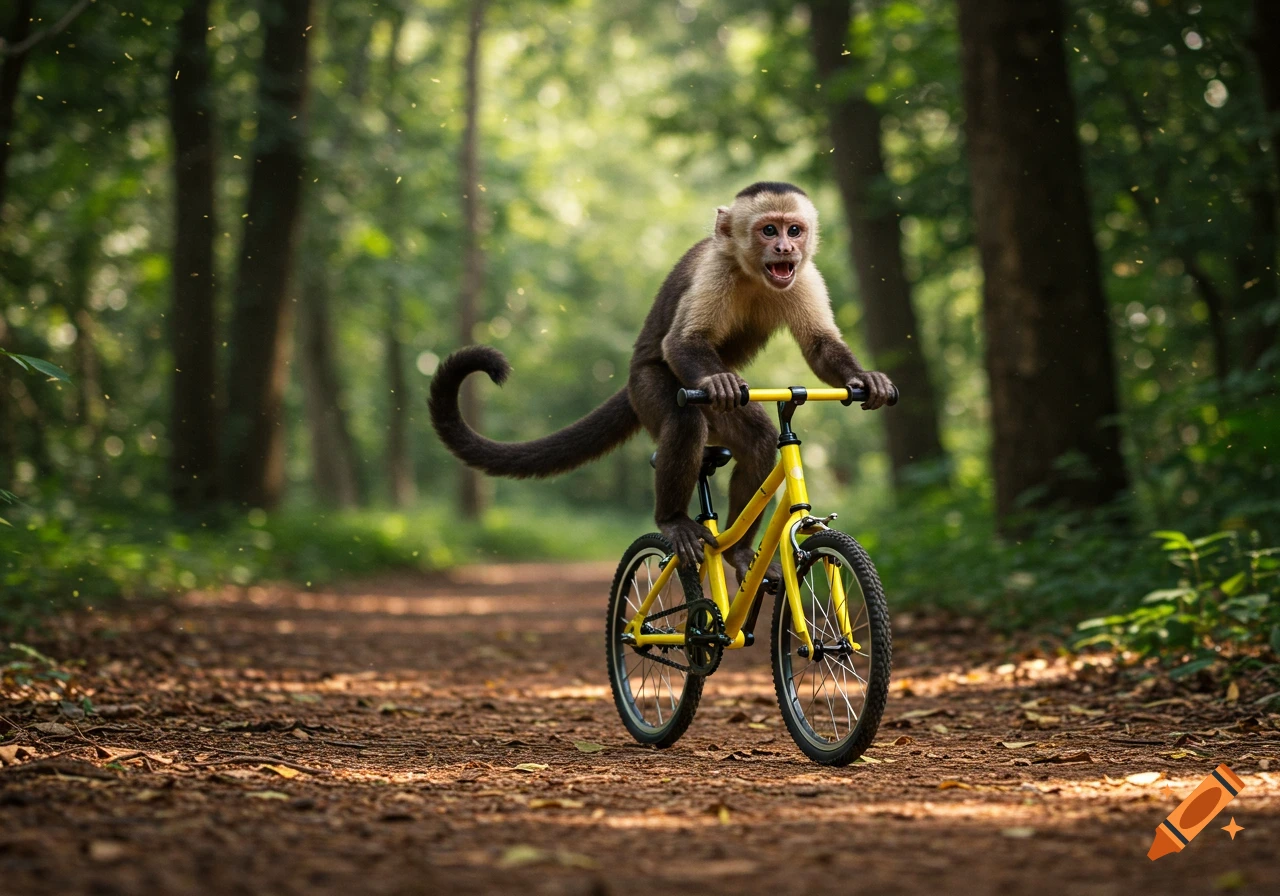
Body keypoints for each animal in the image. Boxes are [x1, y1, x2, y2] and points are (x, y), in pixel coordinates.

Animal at [429, 181, 895, 587]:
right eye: (768, 230)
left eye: (794, 230)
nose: (785, 248)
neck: (751, 273)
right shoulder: (714, 272)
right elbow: (682, 343)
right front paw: (720, 381)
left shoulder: (806, 275)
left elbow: (820, 345)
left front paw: (864, 380)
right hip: (650, 387)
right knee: (685, 418)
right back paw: (673, 519)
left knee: (760, 441)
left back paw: (739, 551)